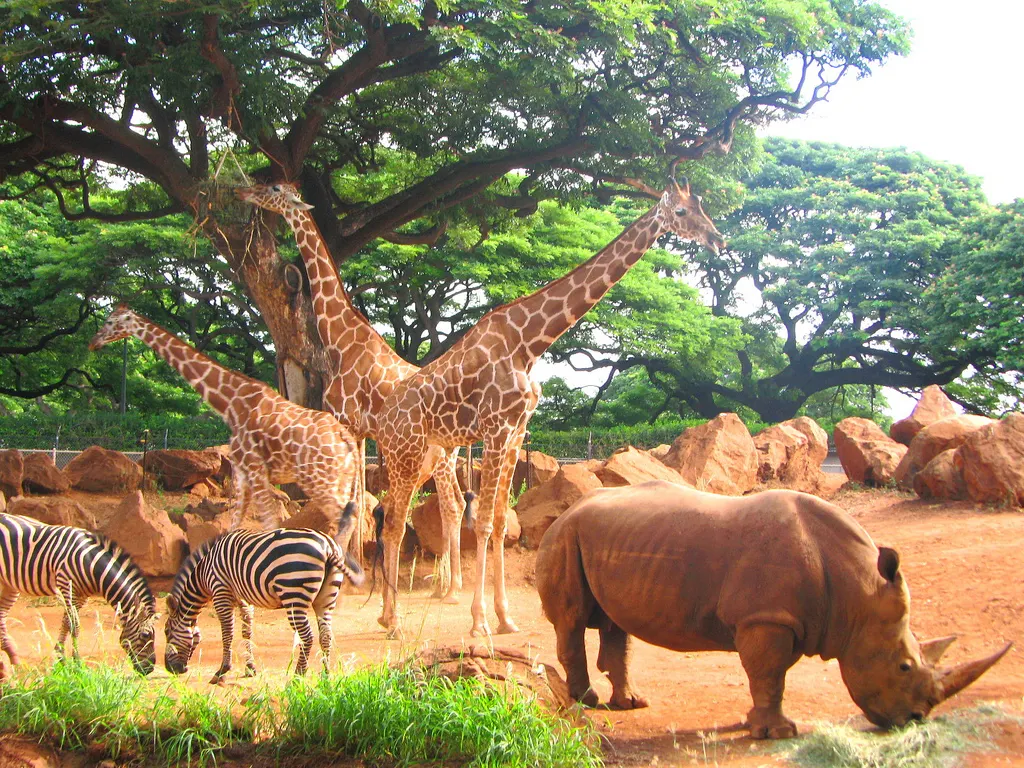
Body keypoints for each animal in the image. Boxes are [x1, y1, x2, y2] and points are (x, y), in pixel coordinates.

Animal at [0, 514, 157, 675]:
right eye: (145, 636)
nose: (149, 669)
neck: (90, 563)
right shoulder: (67, 586)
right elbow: (75, 625)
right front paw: (76, 663)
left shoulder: (81, 596)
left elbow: (66, 622)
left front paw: (61, 657)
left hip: (8, 584)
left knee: (2, 614)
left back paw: (13, 657)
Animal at [90, 307, 360, 536]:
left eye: (110, 321)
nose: (93, 342)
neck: (230, 403)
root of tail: (346, 440)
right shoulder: (241, 472)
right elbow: (236, 523)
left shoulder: (252, 468)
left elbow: (268, 525)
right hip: (341, 481)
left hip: (322, 479)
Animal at [161, 505, 366, 684]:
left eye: (166, 631)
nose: (171, 670)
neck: (204, 571)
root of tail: (328, 547)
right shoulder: (244, 599)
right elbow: (247, 630)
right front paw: (250, 668)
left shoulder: (221, 591)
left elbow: (227, 631)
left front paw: (221, 671)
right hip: (326, 598)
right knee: (326, 635)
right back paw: (326, 675)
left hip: (294, 594)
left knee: (307, 636)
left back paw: (298, 676)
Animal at [234, 182, 466, 602]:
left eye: (273, 189)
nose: (245, 191)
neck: (341, 339)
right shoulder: (356, 430)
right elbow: (357, 496)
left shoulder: (347, 420)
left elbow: (353, 498)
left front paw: (348, 572)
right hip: (440, 457)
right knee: (451, 504)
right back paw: (445, 587)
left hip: (434, 456)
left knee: (450, 506)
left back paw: (451, 588)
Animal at [372, 176, 724, 638]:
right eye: (681, 212)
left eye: (702, 205)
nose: (717, 239)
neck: (530, 344)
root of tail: (384, 416)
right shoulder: (496, 428)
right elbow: (482, 522)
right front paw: (479, 622)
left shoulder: (517, 429)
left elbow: (499, 520)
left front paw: (505, 618)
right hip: (407, 452)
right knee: (395, 521)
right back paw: (394, 621)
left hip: (421, 454)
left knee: (391, 517)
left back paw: (384, 614)